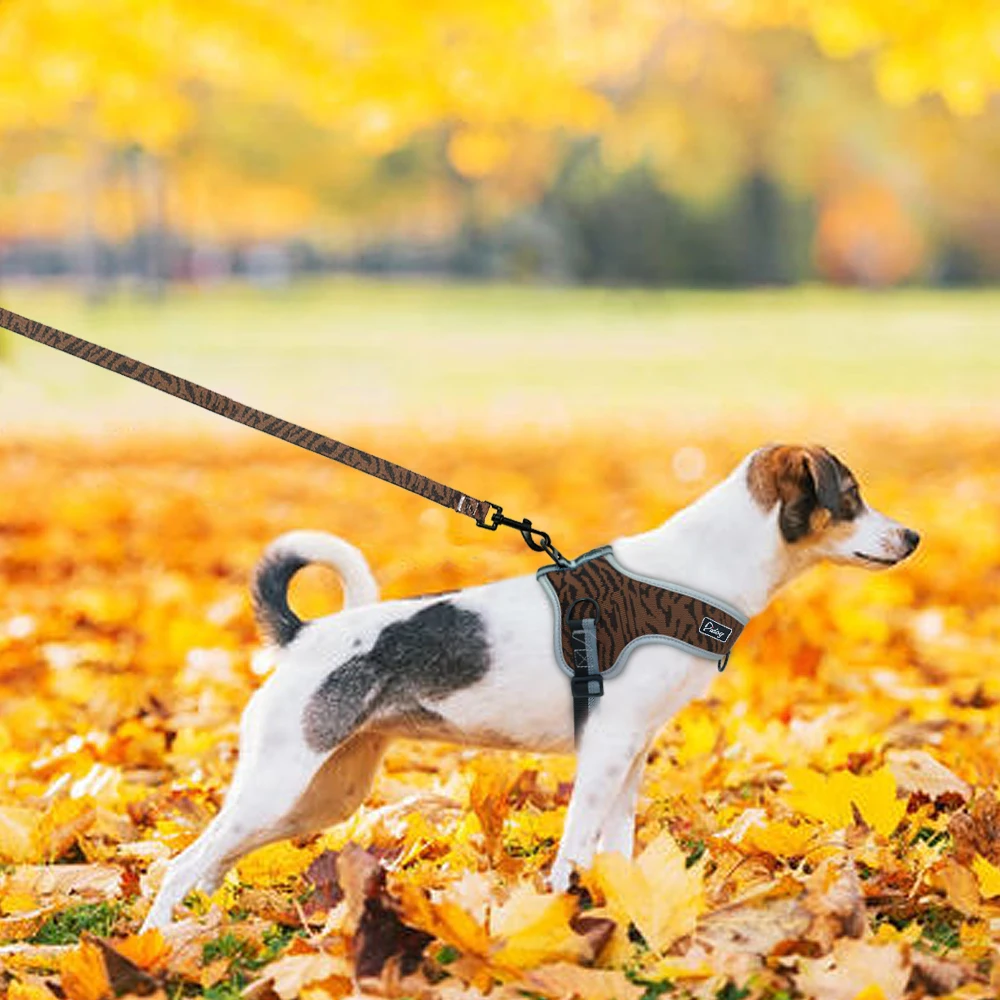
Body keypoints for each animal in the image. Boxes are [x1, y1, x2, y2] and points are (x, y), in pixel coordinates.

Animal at [139, 446, 916, 928]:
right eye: (851, 499)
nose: (911, 537)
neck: (695, 571)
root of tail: (303, 637)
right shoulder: (605, 750)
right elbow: (575, 848)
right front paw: (564, 916)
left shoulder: (630, 754)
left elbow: (616, 846)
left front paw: (621, 913)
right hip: (280, 784)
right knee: (183, 864)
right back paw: (160, 942)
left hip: (323, 797)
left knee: (213, 862)